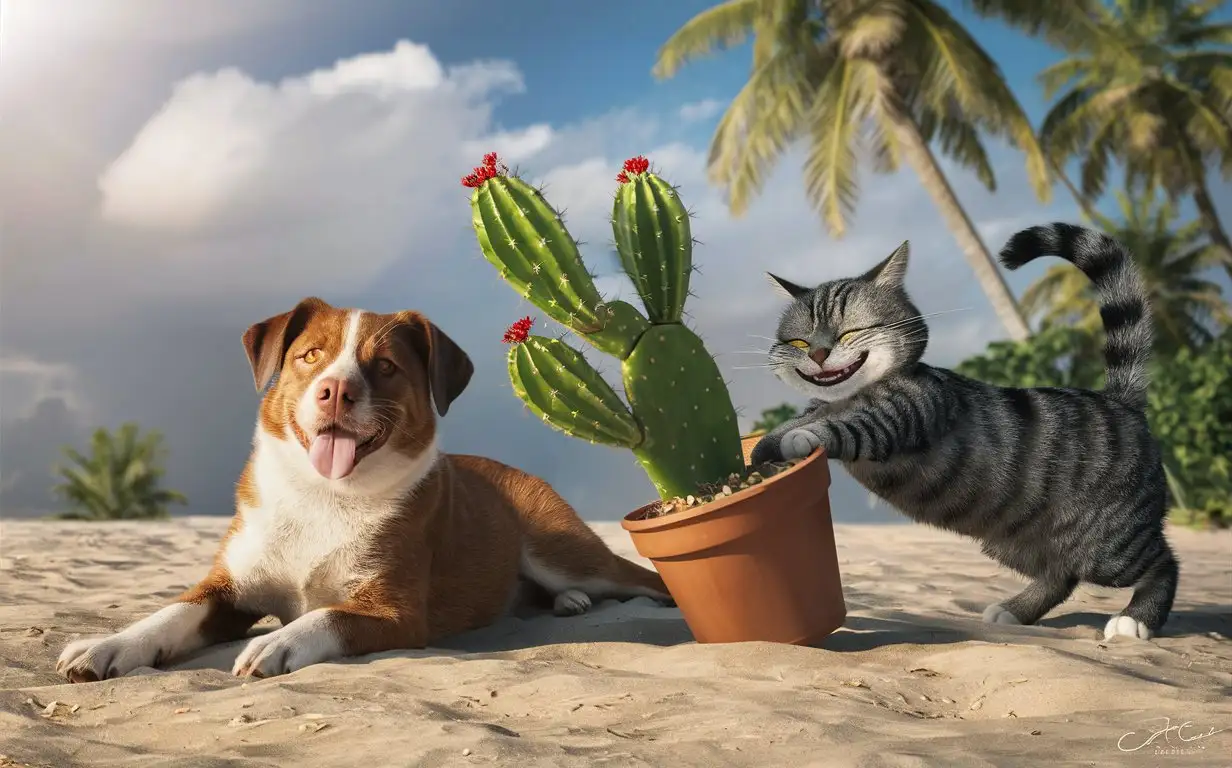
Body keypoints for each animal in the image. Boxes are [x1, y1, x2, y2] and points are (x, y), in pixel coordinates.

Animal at [55, 297, 675, 680]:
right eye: (310, 356)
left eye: (386, 367)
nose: (335, 391)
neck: (323, 495)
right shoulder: (229, 588)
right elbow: (170, 612)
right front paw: (107, 644)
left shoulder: (396, 613)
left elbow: (325, 616)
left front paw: (276, 642)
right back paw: (566, 604)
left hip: (559, 547)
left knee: (635, 579)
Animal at [753, 224, 1177, 641]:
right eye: (799, 342)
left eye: (849, 332)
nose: (818, 355)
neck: (850, 396)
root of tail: (1121, 401)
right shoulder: (822, 407)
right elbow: (796, 421)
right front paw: (764, 447)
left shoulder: (906, 414)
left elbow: (846, 428)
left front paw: (799, 440)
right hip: (1015, 542)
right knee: (1061, 575)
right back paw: (1016, 610)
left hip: (1111, 546)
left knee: (1163, 563)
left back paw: (1136, 619)